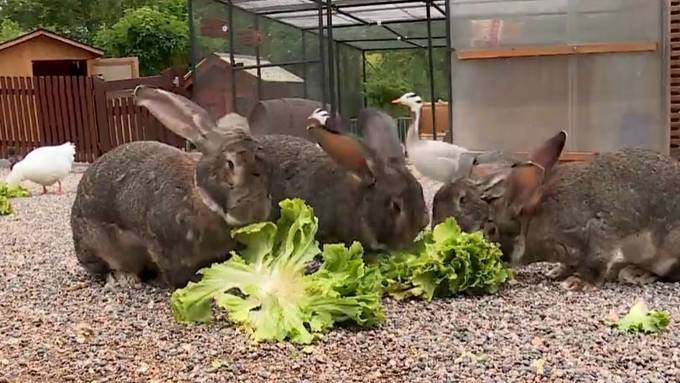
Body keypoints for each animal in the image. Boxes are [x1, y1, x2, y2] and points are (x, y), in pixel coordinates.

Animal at [69, 87, 270, 290]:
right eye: (229, 164)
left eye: (263, 162)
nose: (257, 211)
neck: (197, 195)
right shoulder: (167, 250)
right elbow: (176, 276)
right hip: (101, 245)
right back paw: (124, 278)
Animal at [432, 132, 676, 292]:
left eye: (490, 229)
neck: (530, 225)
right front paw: (557, 272)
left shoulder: (595, 232)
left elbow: (596, 260)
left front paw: (577, 283)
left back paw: (637, 273)